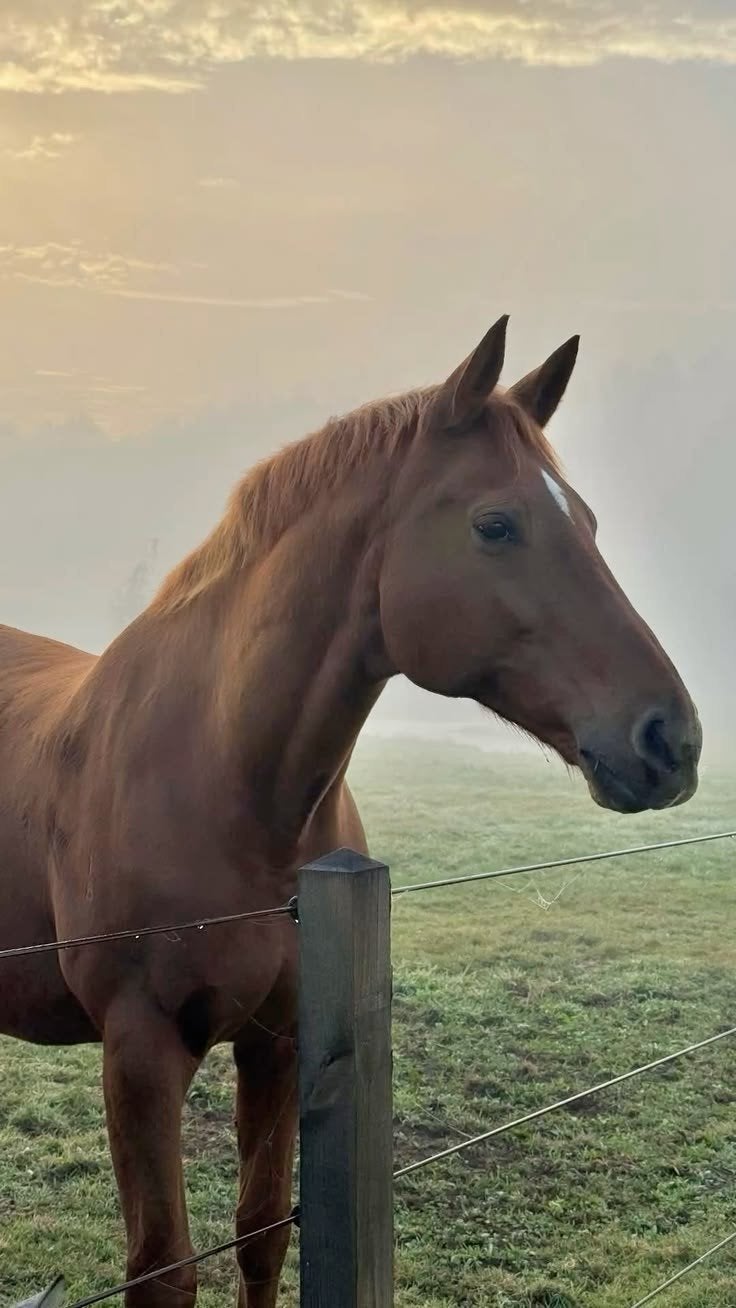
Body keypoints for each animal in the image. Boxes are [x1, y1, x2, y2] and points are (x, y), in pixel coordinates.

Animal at [0, 315, 701, 1306]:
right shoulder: (139, 1053)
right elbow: (164, 1268)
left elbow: (261, 1235)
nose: (671, 740)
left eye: (590, 521)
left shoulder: (280, 1042)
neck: (220, 780)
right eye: (495, 525)